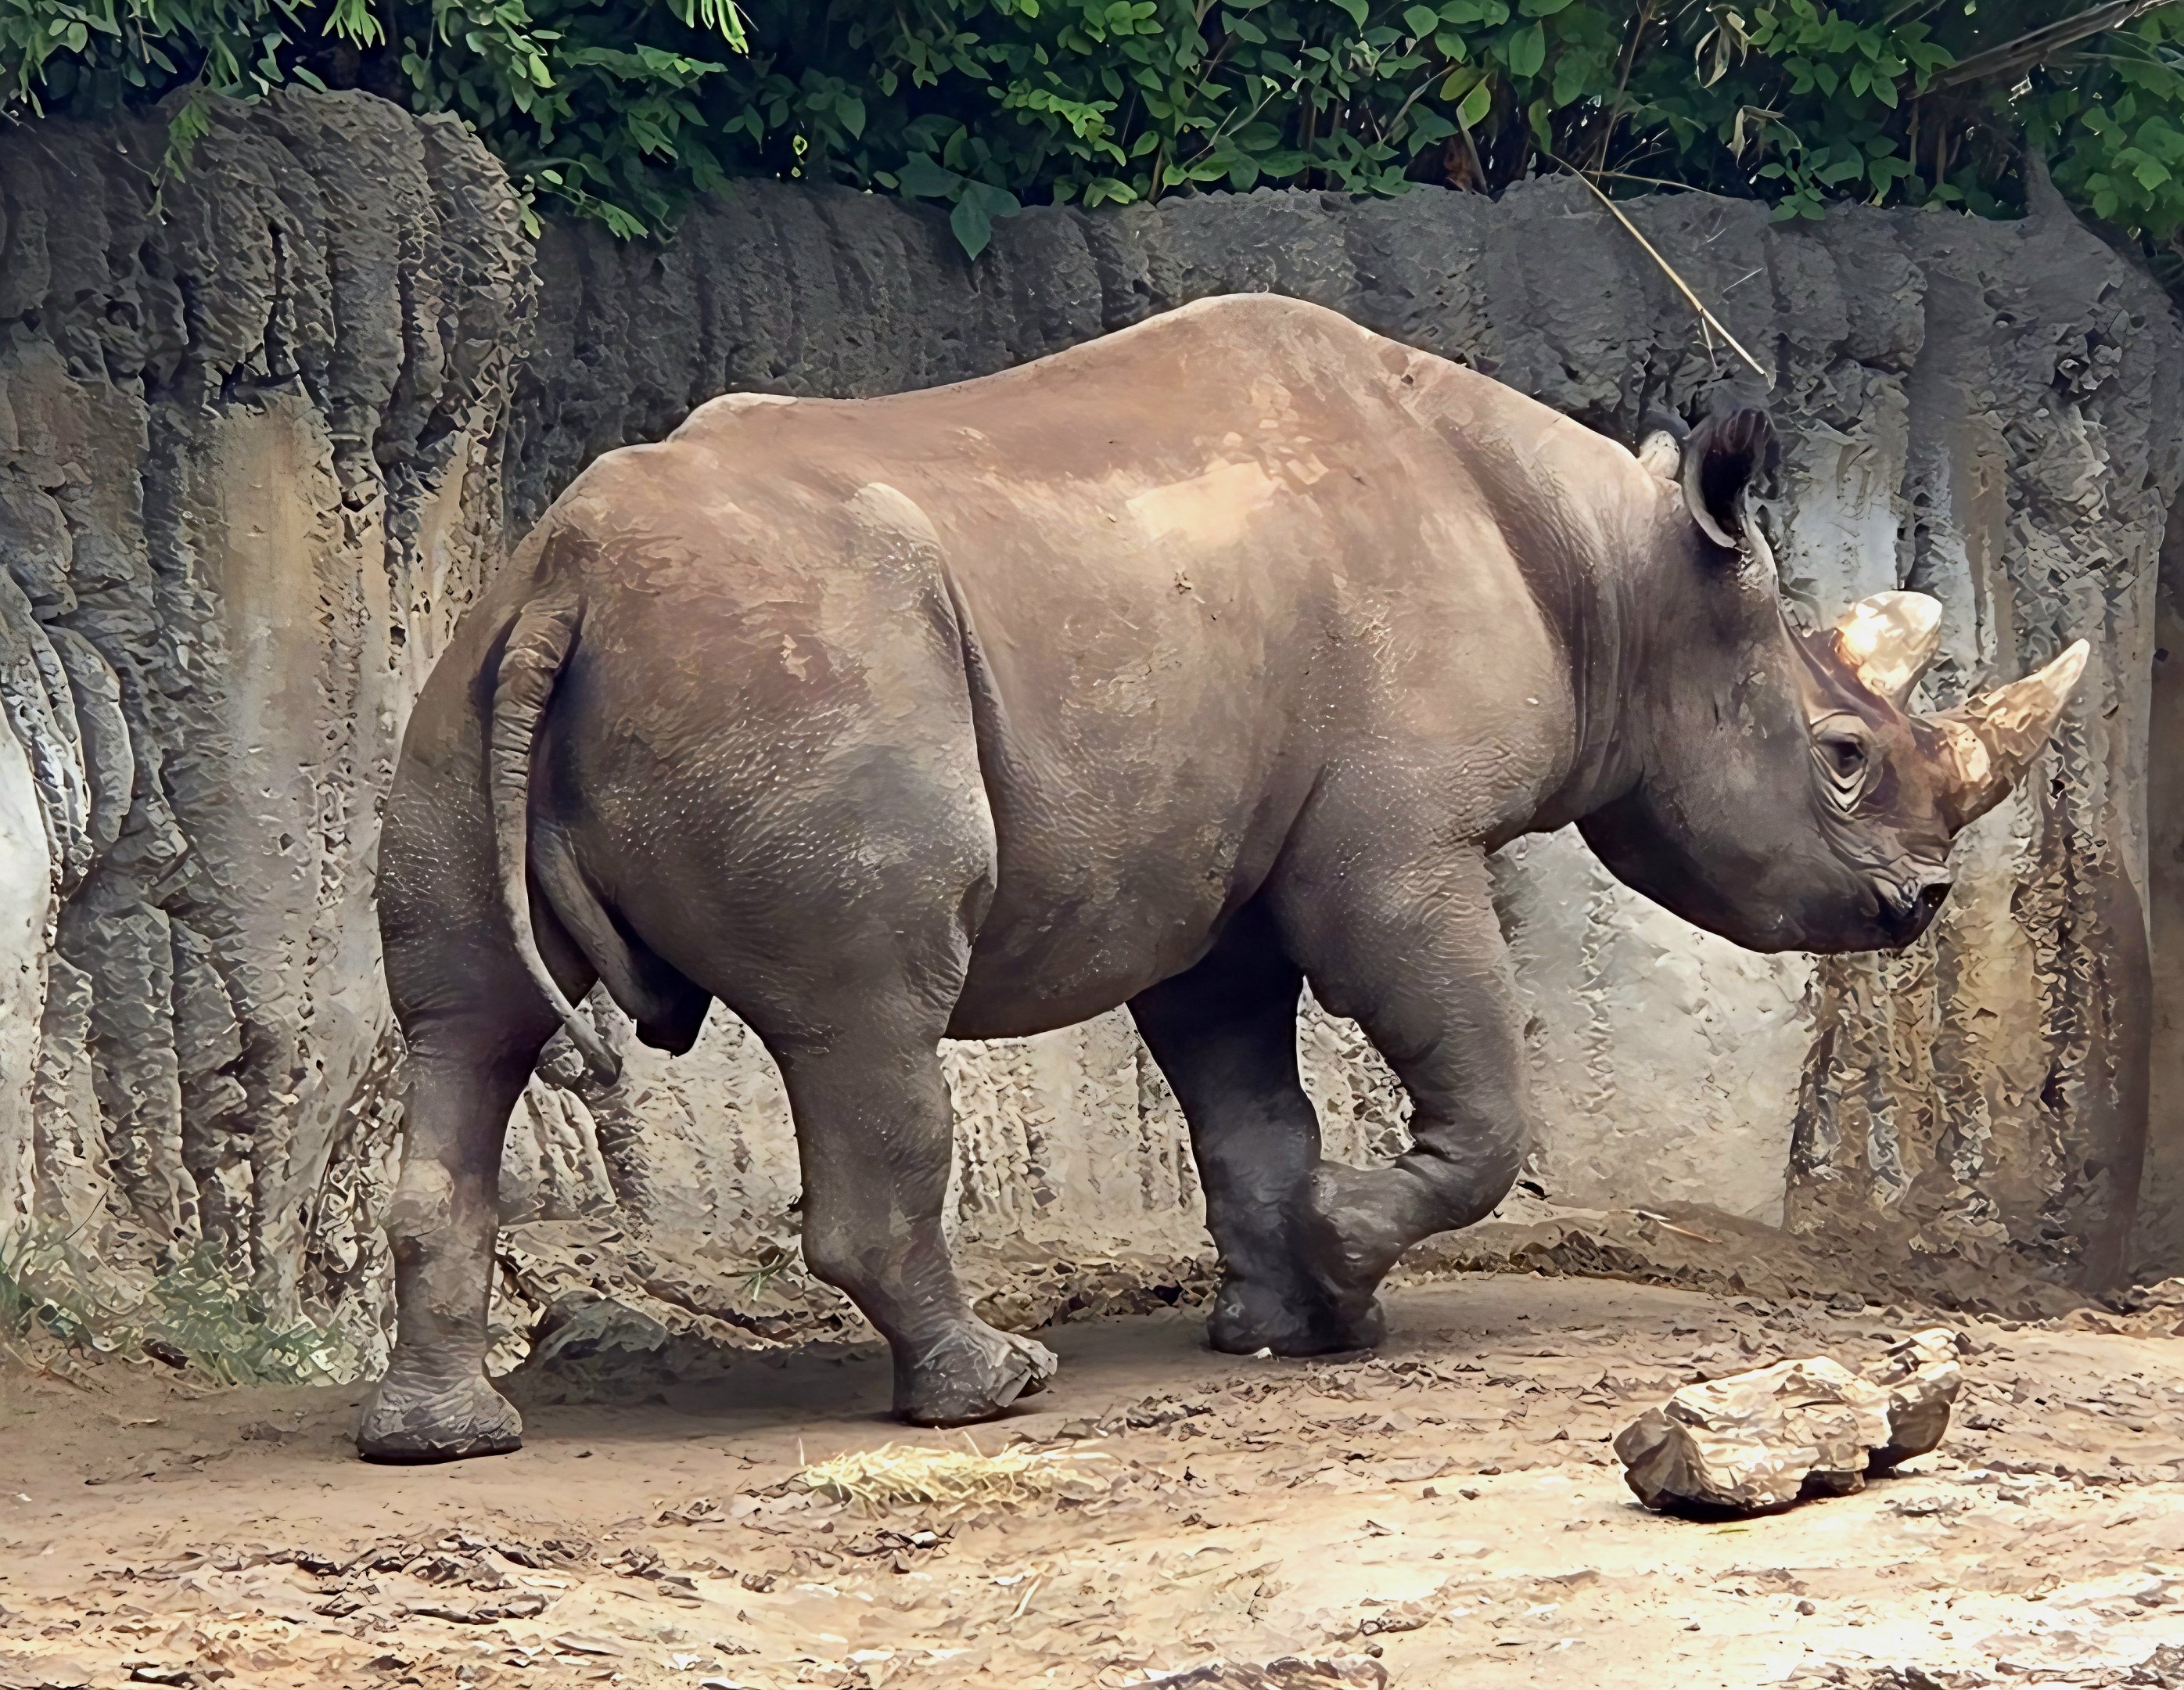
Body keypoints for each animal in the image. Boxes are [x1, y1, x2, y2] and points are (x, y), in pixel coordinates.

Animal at [359, 294, 2084, 1462]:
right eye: (1840, 758)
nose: (1923, 902)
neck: (1621, 582)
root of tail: (574, 577)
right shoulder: (1399, 845)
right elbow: (1479, 1091)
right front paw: (1345, 1261)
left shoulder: (1218, 875)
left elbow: (1248, 1102)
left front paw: (1285, 1324)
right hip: (802, 680)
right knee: (868, 1015)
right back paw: (991, 1392)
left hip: (471, 672)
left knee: (465, 1023)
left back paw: (442, 1436)